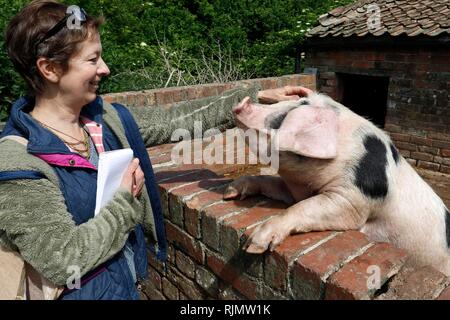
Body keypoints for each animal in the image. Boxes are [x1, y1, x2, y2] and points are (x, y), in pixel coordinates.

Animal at [222, 89, 450, 276]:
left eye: (297, 107)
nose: (242, 102)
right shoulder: (293, 190)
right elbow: (271, 183)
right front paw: (229, 192)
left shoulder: (353, 200)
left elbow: (304, 207)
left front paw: (253, 246)